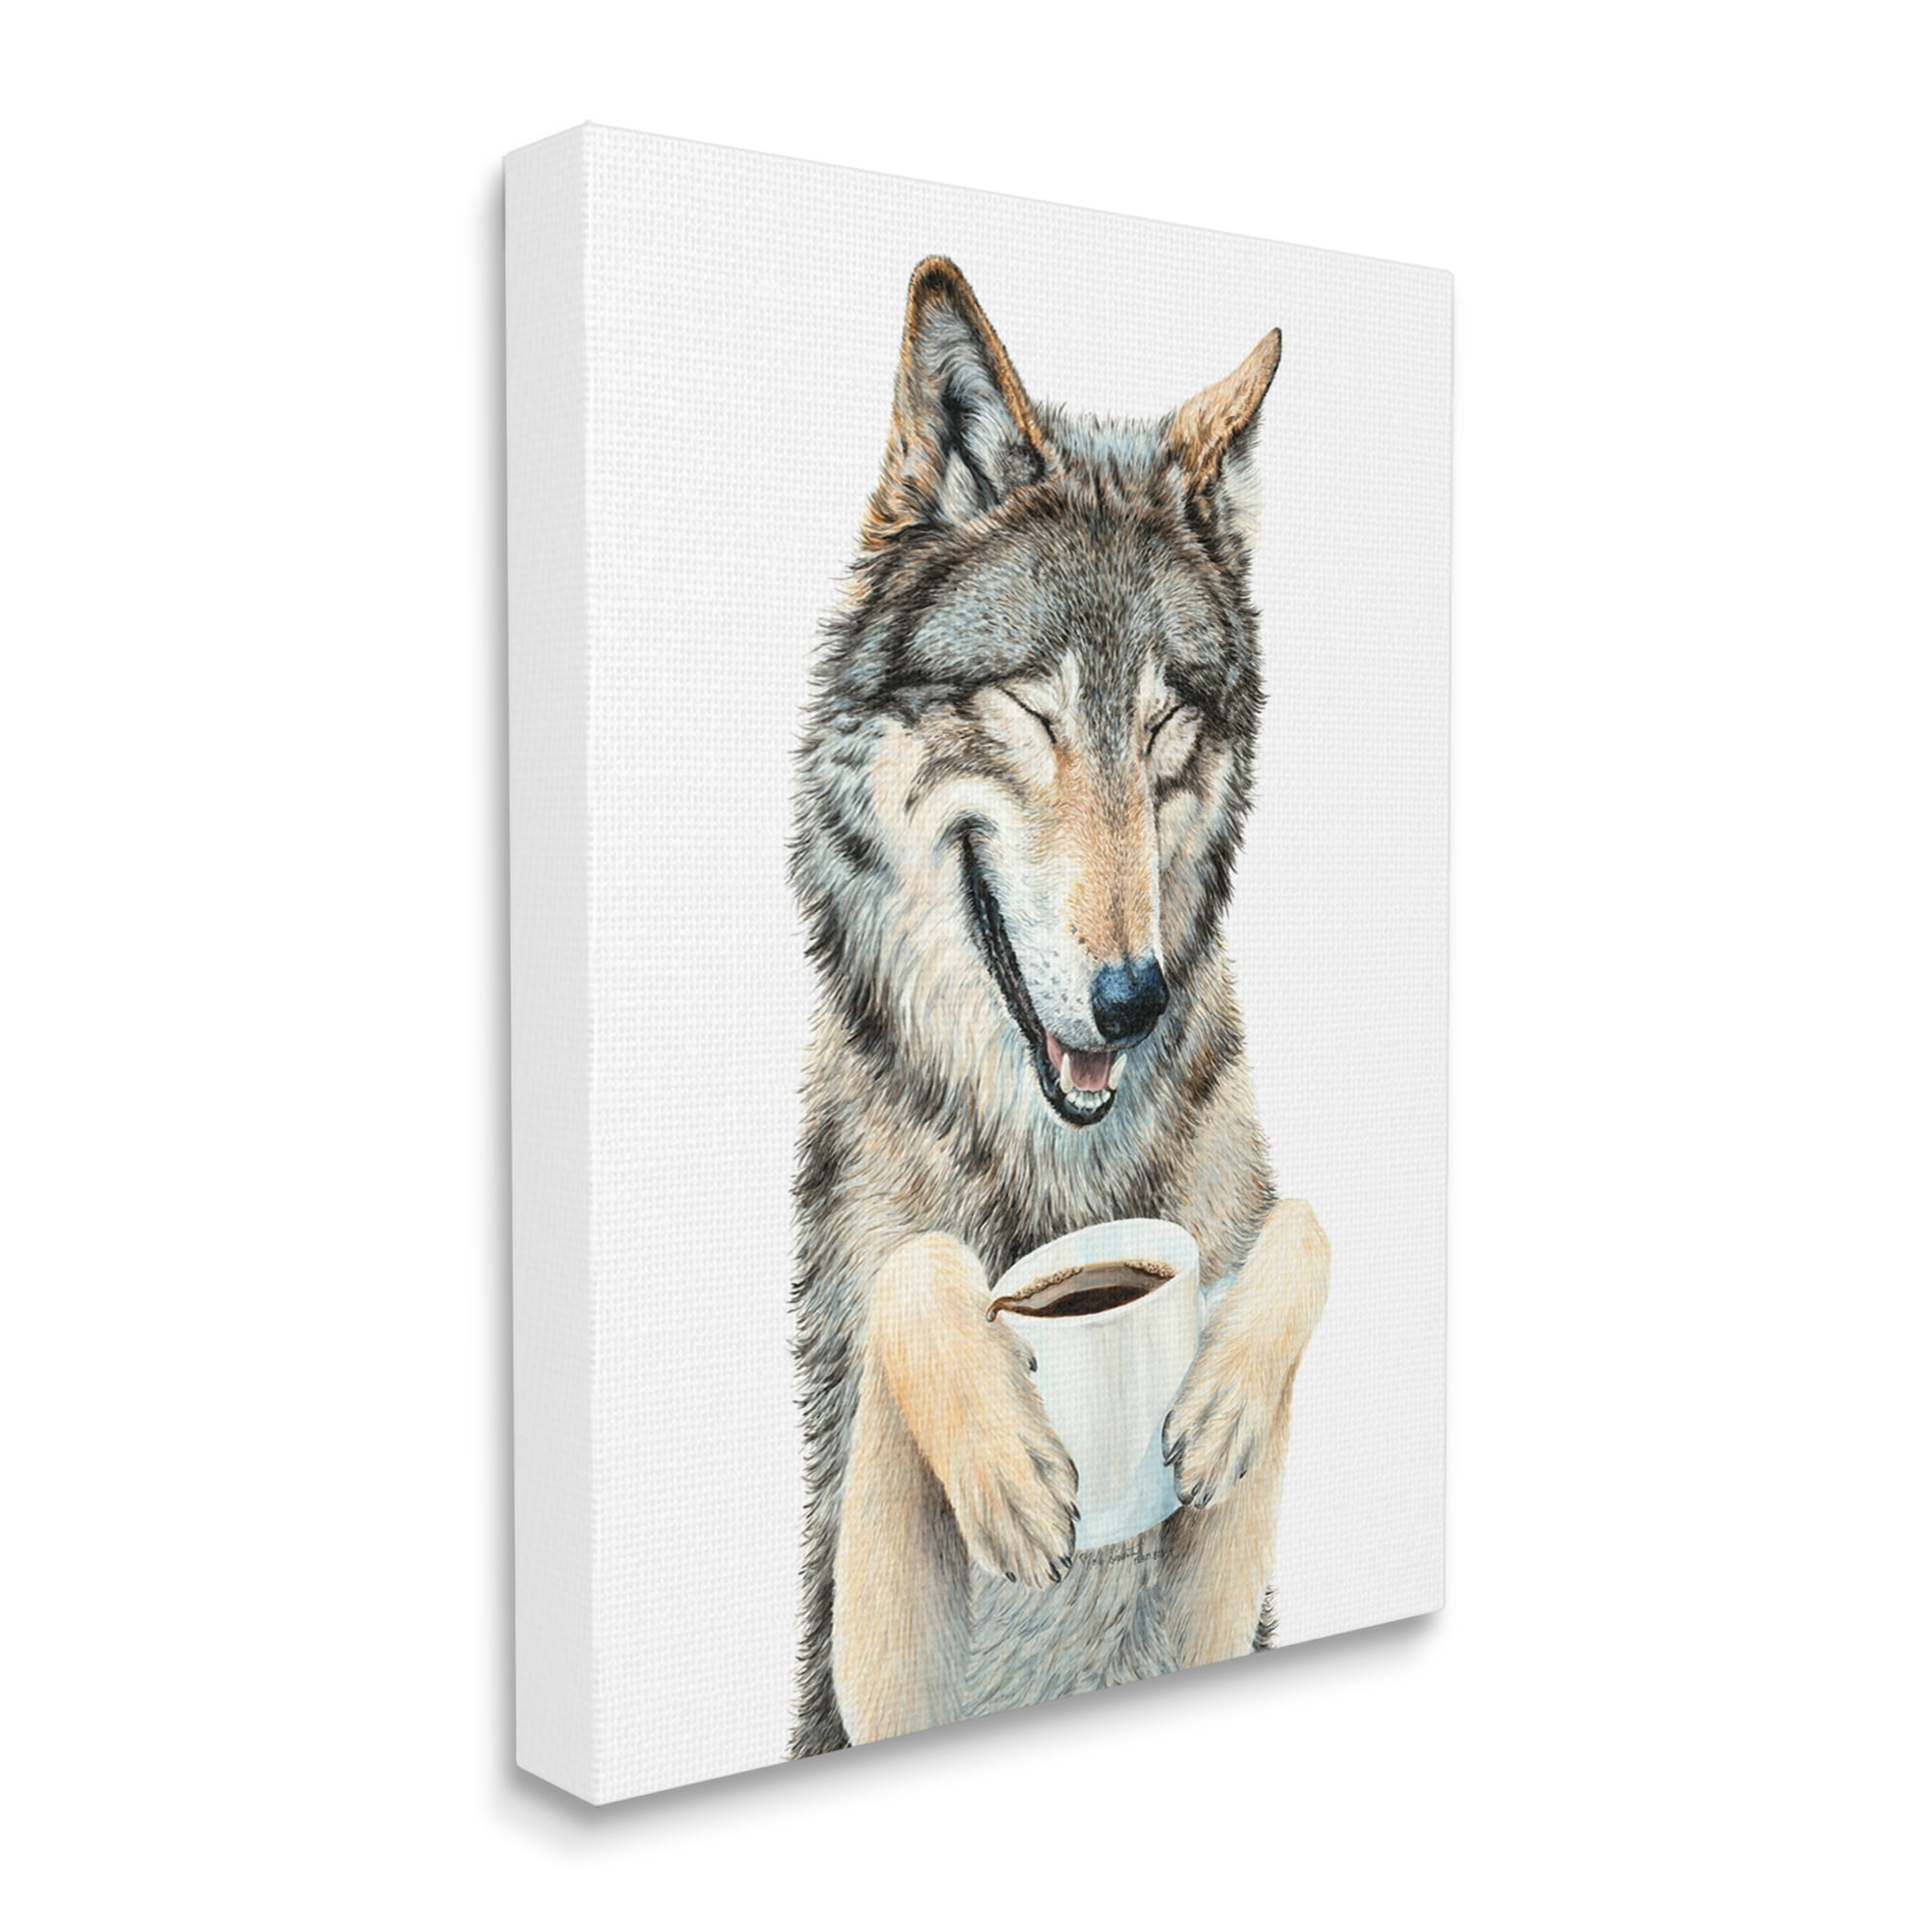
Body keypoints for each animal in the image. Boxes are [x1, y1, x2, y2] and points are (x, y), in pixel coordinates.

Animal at [789, 258, 1330, 1756]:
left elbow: (1301, 1226)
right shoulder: (867, 1670)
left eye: (1162, 728)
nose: (1134, 1000)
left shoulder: (1218, 1612)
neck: (1056, 1176)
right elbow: (915, 1267)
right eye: (1034, 714)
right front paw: (1007, 1463)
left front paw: (1220, 1397)